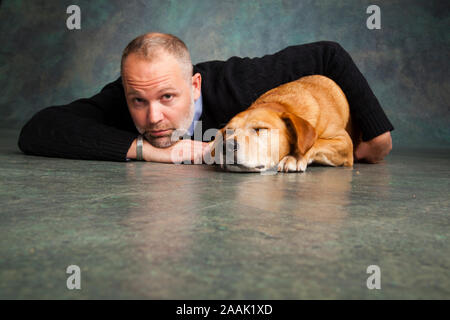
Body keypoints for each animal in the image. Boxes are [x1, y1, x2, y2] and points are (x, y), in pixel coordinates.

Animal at [209, 75, 360, 172]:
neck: (281, 104)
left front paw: (295, 157)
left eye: (260, 129)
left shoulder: (344, 141)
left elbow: (316, 142)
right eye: (228, 132)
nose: (226, 146)